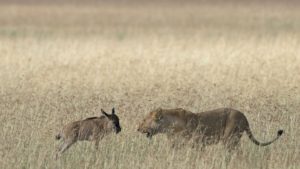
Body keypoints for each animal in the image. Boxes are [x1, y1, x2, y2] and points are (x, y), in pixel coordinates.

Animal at [137, 107, 282, 150]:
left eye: (144, 120)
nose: (137, 128)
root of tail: (244, 116)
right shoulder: (176, 145)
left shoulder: (197, 143)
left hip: (229, 139)